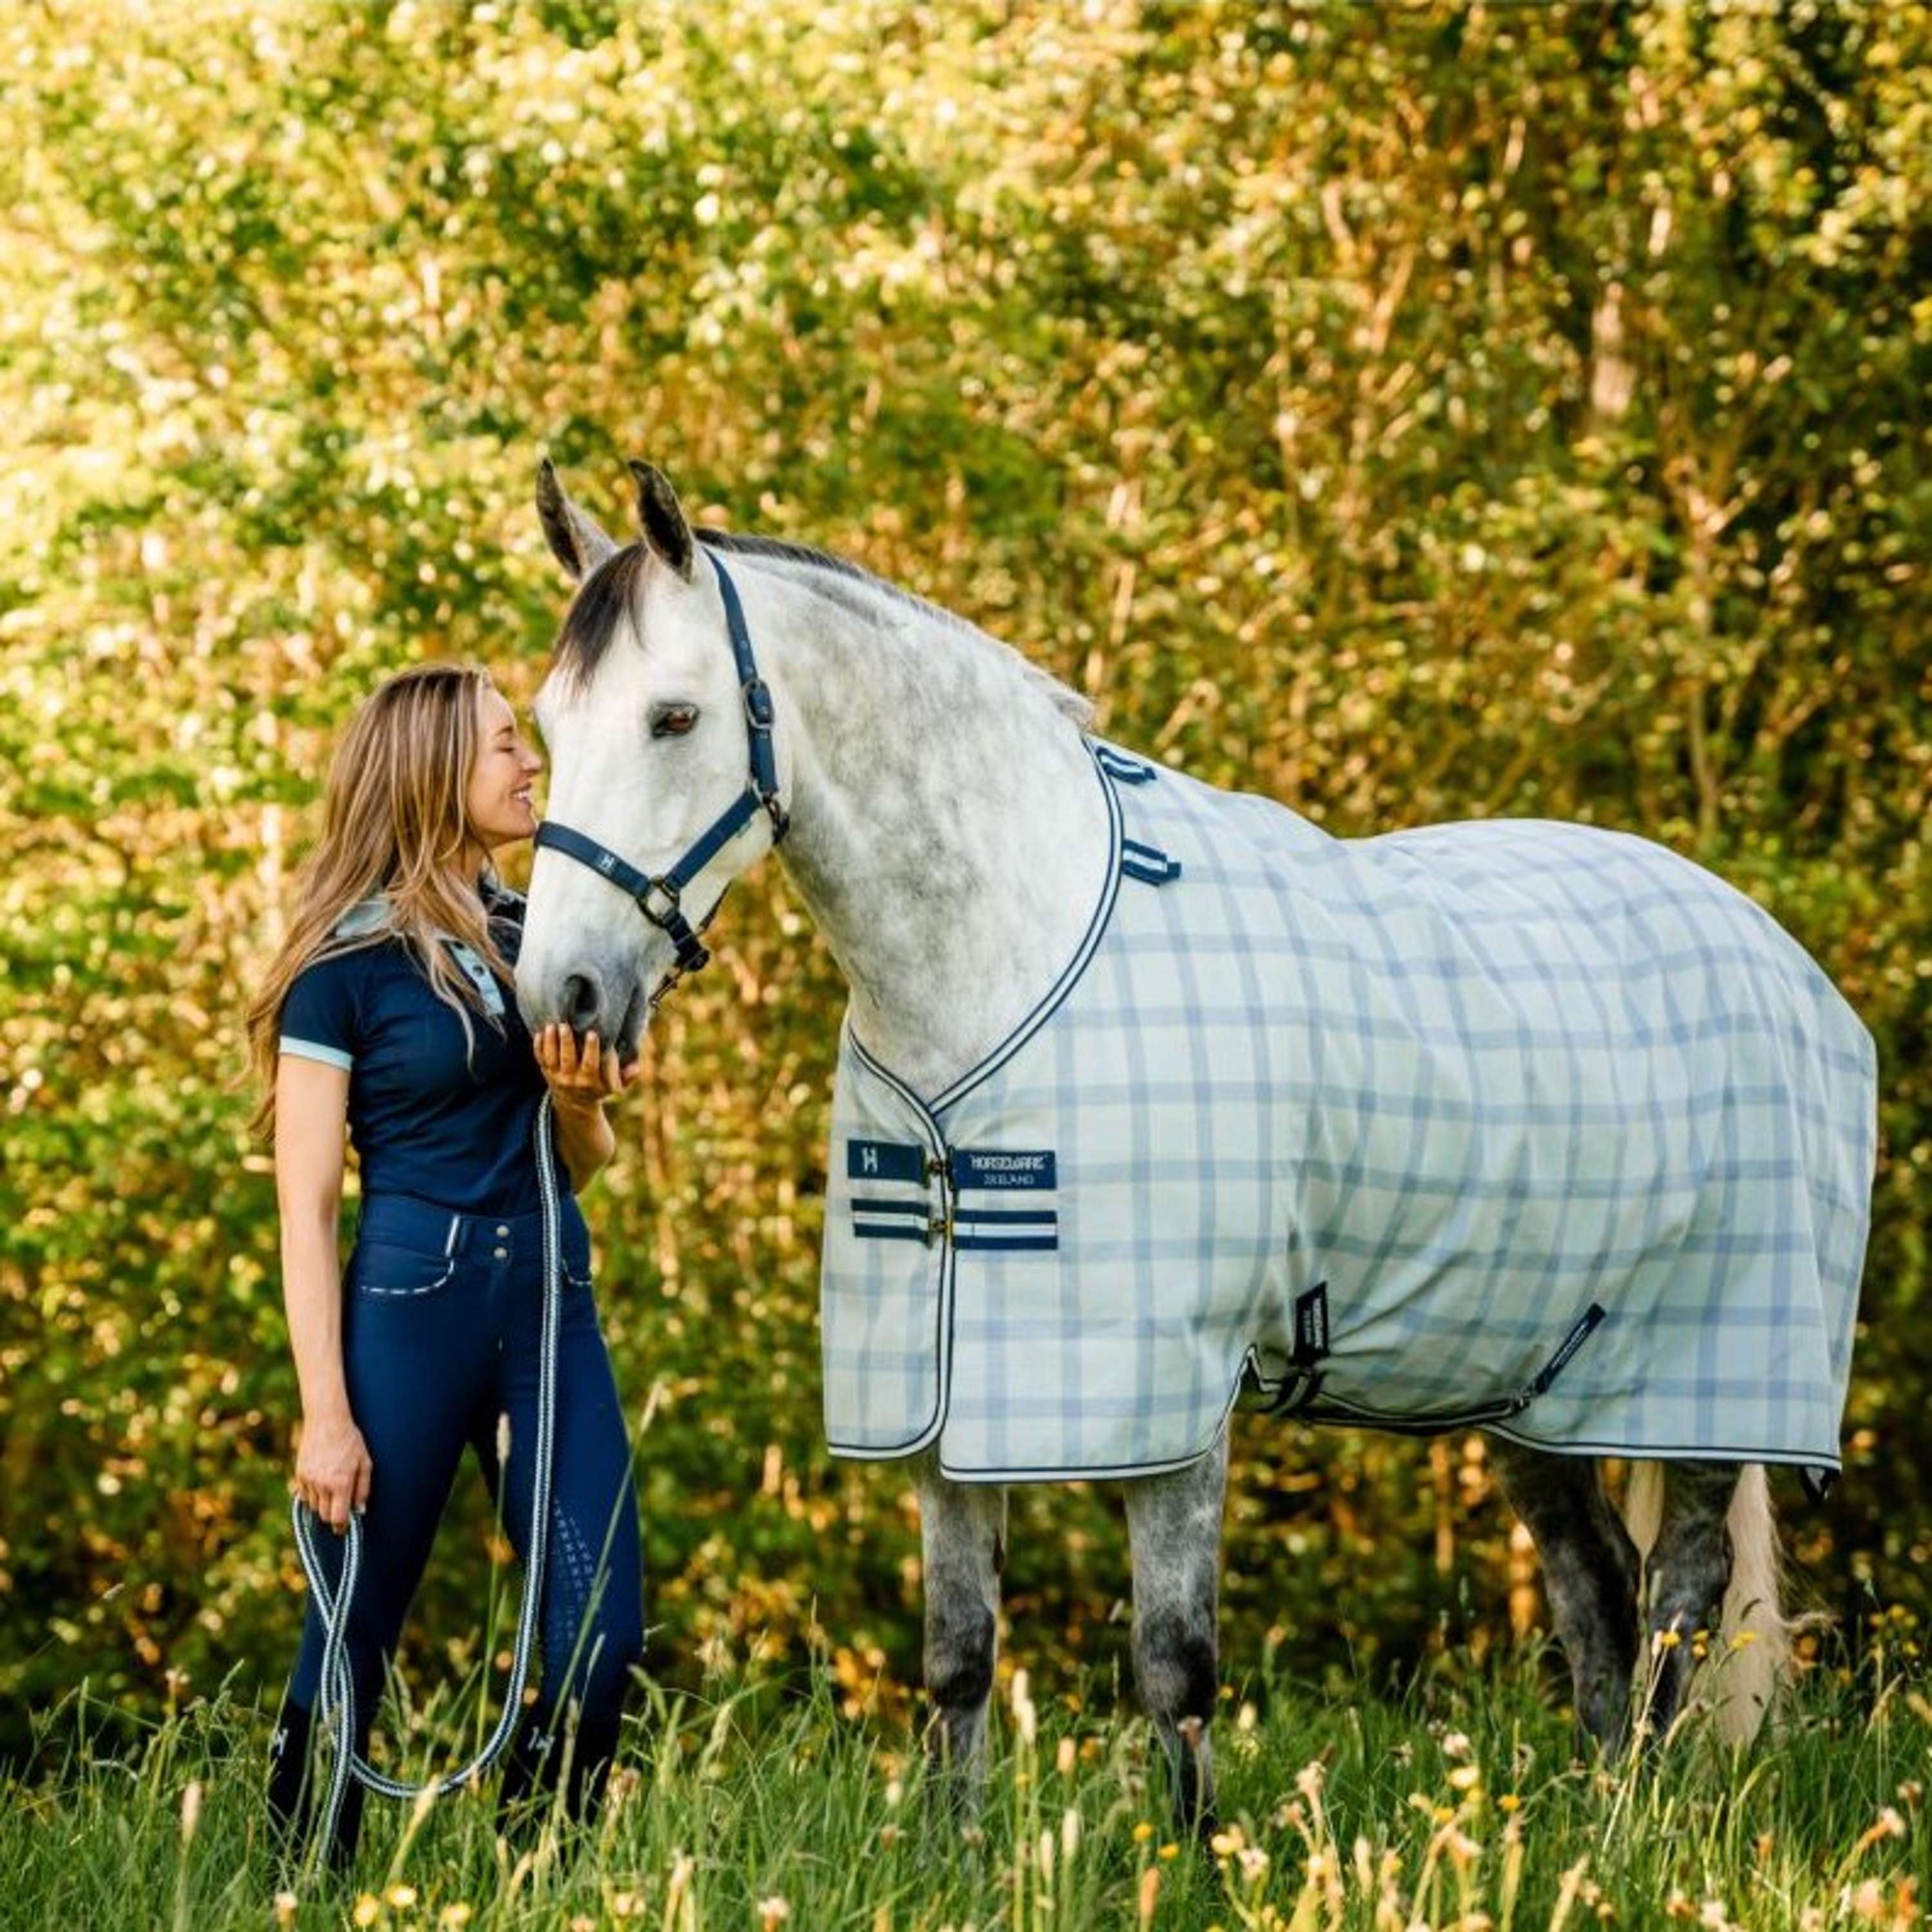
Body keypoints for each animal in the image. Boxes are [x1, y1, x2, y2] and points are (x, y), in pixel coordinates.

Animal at [513, 458, 1876, 1824]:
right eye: (550, 728)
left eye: (674, 719)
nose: (558, 998)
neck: (1008, 952)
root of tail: (1766, 944)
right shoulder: (945, 1388)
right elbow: (959, 1658)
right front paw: (957, 1847)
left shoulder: (1169, 1396)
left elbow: (1175, 1665)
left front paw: (1196, 1852)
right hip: (1534, 1374)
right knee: (1597, 1590)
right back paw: (1600, 1819)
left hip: (1705, 1373)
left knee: (1681, 1596)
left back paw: (1652, 1815)